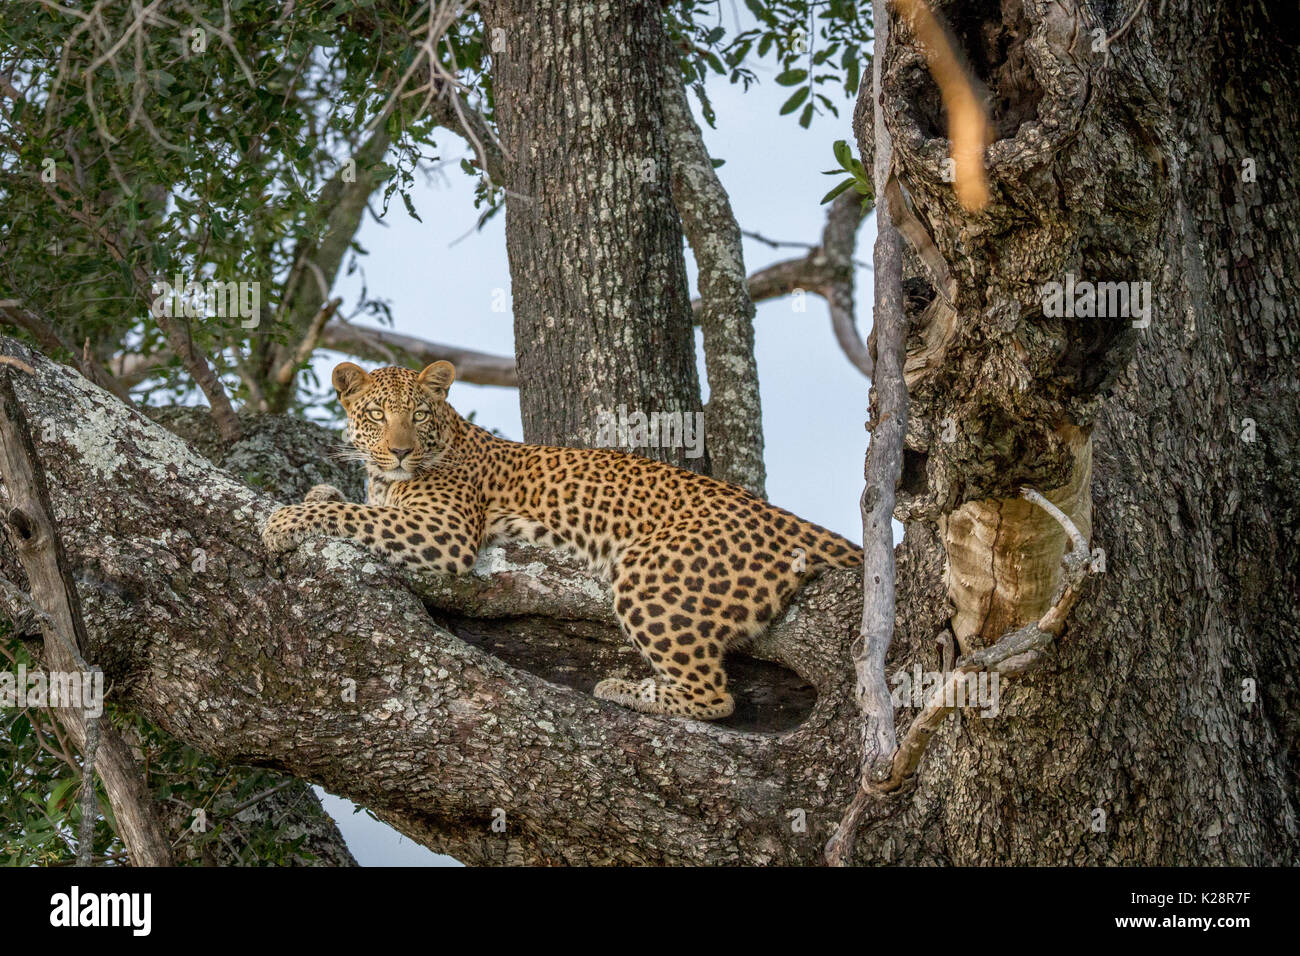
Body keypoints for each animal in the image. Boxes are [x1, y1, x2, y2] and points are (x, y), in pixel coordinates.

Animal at [261, 360, 863, 720]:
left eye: (418, 414)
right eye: (375, 414)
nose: (402, 451)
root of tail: (782, 518)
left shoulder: (444, 530)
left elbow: (353, 516)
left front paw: (283, 521)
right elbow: (355, 505)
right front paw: (318, 491)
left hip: (648, 572)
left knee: (713, 697)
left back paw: (624, 689)